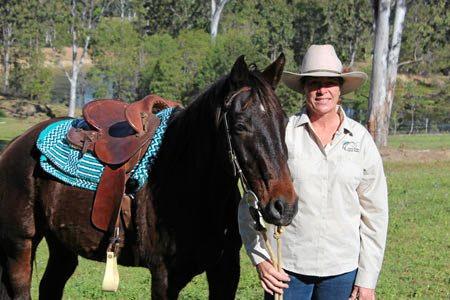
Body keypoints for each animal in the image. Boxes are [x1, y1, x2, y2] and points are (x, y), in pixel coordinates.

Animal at [0, 54, 298, 300]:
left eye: (284, 122)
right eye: (240, 126)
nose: (284, 206)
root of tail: (15, 144)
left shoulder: (225, 272)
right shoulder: (165, 276)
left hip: (62, 245)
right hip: (20, 244)